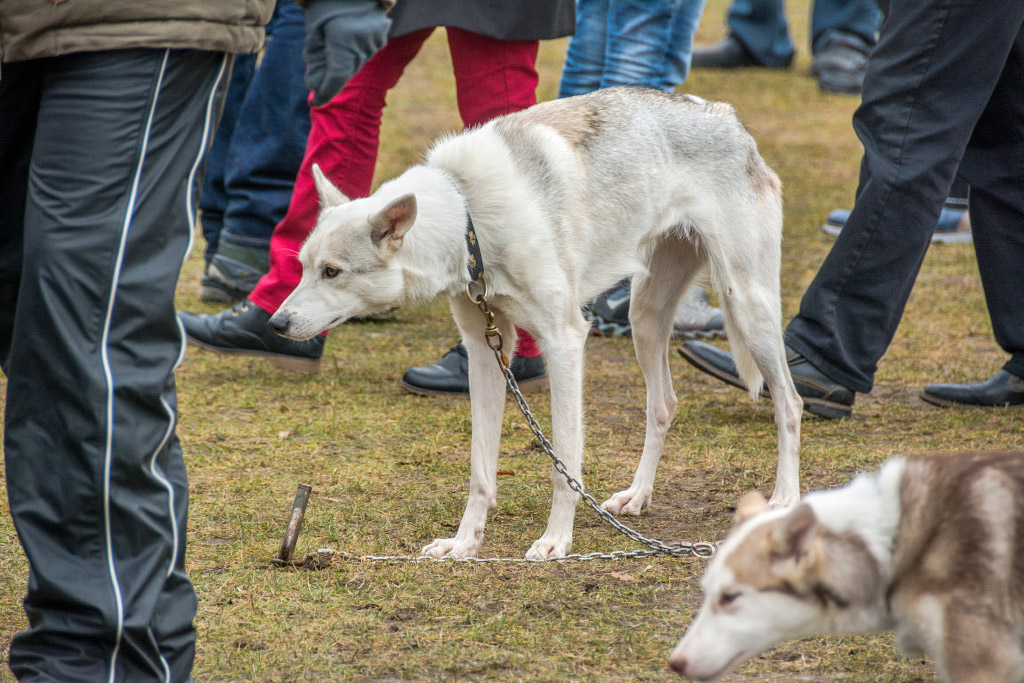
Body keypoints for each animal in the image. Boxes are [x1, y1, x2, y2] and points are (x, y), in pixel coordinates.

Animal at [269, 86, 803, 560]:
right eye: (303, 267)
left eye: (332, 272)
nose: (276, 323)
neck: (468, 215)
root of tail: (727, 116)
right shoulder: (485, 349)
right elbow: (480, 470)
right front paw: (464, 545)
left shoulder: (563, 342)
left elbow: (563, 464)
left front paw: (556, 542)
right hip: (645, 317)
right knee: (664, 405)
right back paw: (637, 495)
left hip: (748, 307)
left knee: (790, 403)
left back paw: (784, 499)